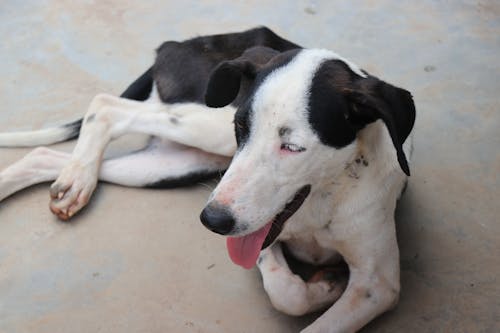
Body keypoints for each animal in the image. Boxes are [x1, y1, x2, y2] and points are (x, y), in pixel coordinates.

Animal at [0, 27, 414, 330]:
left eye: (294, 147)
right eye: (242, 127)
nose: (212, 221)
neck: (322, 200)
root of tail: (178, 43)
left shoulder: (376, 286)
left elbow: (300, 300)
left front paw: (326, 285)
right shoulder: (252, 229)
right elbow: (286, 292)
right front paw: (326, 286)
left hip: (175, 163)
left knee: (45, 156)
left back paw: (72, 179)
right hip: (207, 123)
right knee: (107, 107)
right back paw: (78, 176)